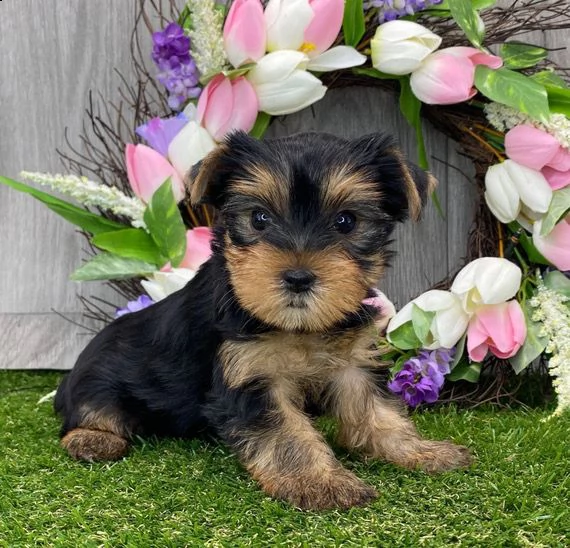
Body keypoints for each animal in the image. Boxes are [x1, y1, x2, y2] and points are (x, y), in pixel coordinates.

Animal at [54, 132, 470, 510]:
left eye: (346, 221)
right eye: (259, 218)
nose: (299, 278)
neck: (298, 327)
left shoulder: (352, 362)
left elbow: (376, 410)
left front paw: (419, 451)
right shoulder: (248, 374)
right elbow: (287, 433)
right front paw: (321, 483)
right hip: (99, 382)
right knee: (87, 412)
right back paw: (92, 439)